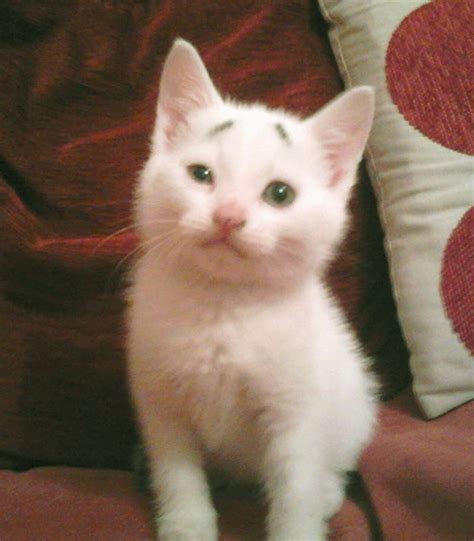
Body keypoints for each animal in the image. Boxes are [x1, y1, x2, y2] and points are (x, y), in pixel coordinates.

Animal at [126, 39, 378, 540]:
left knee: (335, 463)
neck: (223, 303)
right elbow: (177, 473)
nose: (228, 216)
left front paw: (299, 524)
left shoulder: (296, 410)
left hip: (353, 404)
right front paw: (186, 525)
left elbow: (295, 489)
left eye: (280, 194)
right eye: (201, 175)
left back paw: (327, 493)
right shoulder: (160, 401)